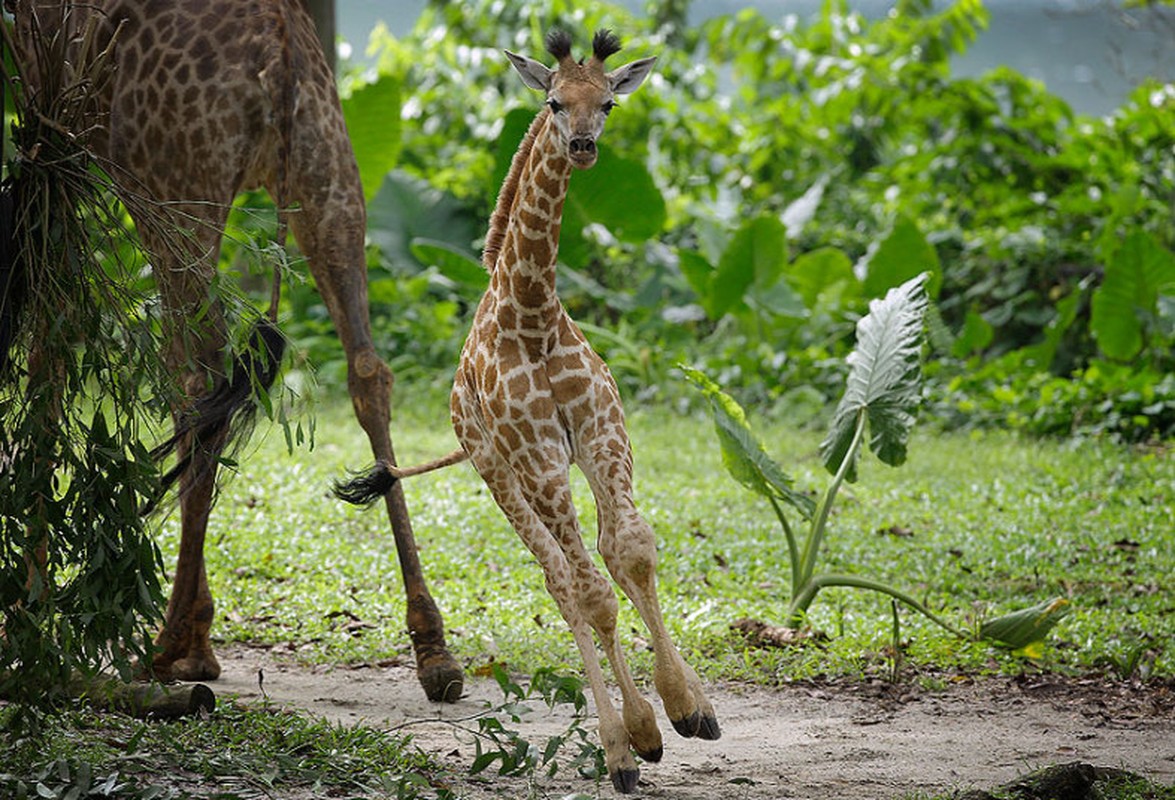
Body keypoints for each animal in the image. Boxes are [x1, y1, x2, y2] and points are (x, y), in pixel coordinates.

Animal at [4, 0, 462, 700]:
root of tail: (283, 49)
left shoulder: (53, 132)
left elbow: (50, 347)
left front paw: (28, 615)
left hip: (174, 179)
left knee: (199, 375)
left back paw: (169, 647)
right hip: (332, 174)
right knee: (364, 368)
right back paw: (434, 651)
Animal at [336, 28, 719, 789]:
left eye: (607, 102)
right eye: (552, 102)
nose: (582, 145)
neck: (533, 313)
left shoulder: (604, 438)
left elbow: (631, 552)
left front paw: (689, 705)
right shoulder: (539, 460)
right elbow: (591, 590)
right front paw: (637, 737)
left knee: (595, 561)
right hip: (498, 471)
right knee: (561, 581)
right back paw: (622, 745)